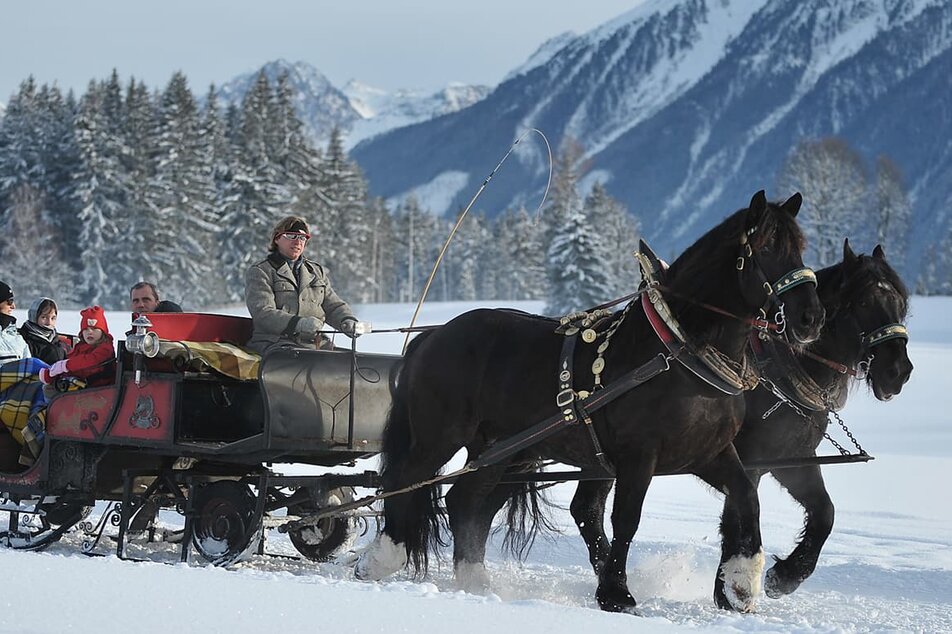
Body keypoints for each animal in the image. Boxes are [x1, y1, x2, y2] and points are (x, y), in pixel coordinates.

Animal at [356, 189, 824, 612]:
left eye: (800, 247)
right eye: (768, 246)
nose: (810, 317)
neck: (677, 352)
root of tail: (435, 335)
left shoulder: (709, 453)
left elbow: (747, 496)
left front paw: (743, 581)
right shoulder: (638, 456)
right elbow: (627, 518)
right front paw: (616, 593)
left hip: (501, 451)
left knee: (465, 503)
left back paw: (475, 579)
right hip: (440, 435)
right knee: (404, 480)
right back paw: (382, 559)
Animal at [568, 239, 912, 604]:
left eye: (901, 304)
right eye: (864, 301)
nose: (898, 372)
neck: (783, 366)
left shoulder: (791, 458)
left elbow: (824, 514)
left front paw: (784, 576)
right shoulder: (749, 460)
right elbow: (737, 516)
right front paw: (730, 589)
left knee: (586, 509)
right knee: (588, 510)